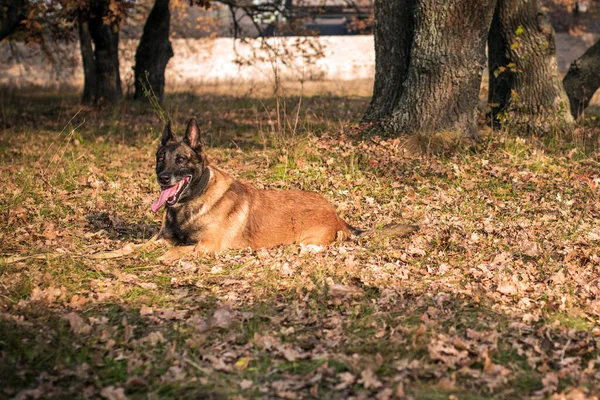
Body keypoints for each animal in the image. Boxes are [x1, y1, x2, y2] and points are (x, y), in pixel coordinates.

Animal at [152, 118, 420, 260]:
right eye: (160, 157)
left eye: (181, 159)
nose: (163, 178)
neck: (192, 200)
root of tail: (336, 215)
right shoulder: (162, 238)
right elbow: (147, 244)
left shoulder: (208, 245)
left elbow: (178, 250)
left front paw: (164, 258)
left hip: (305, 241)